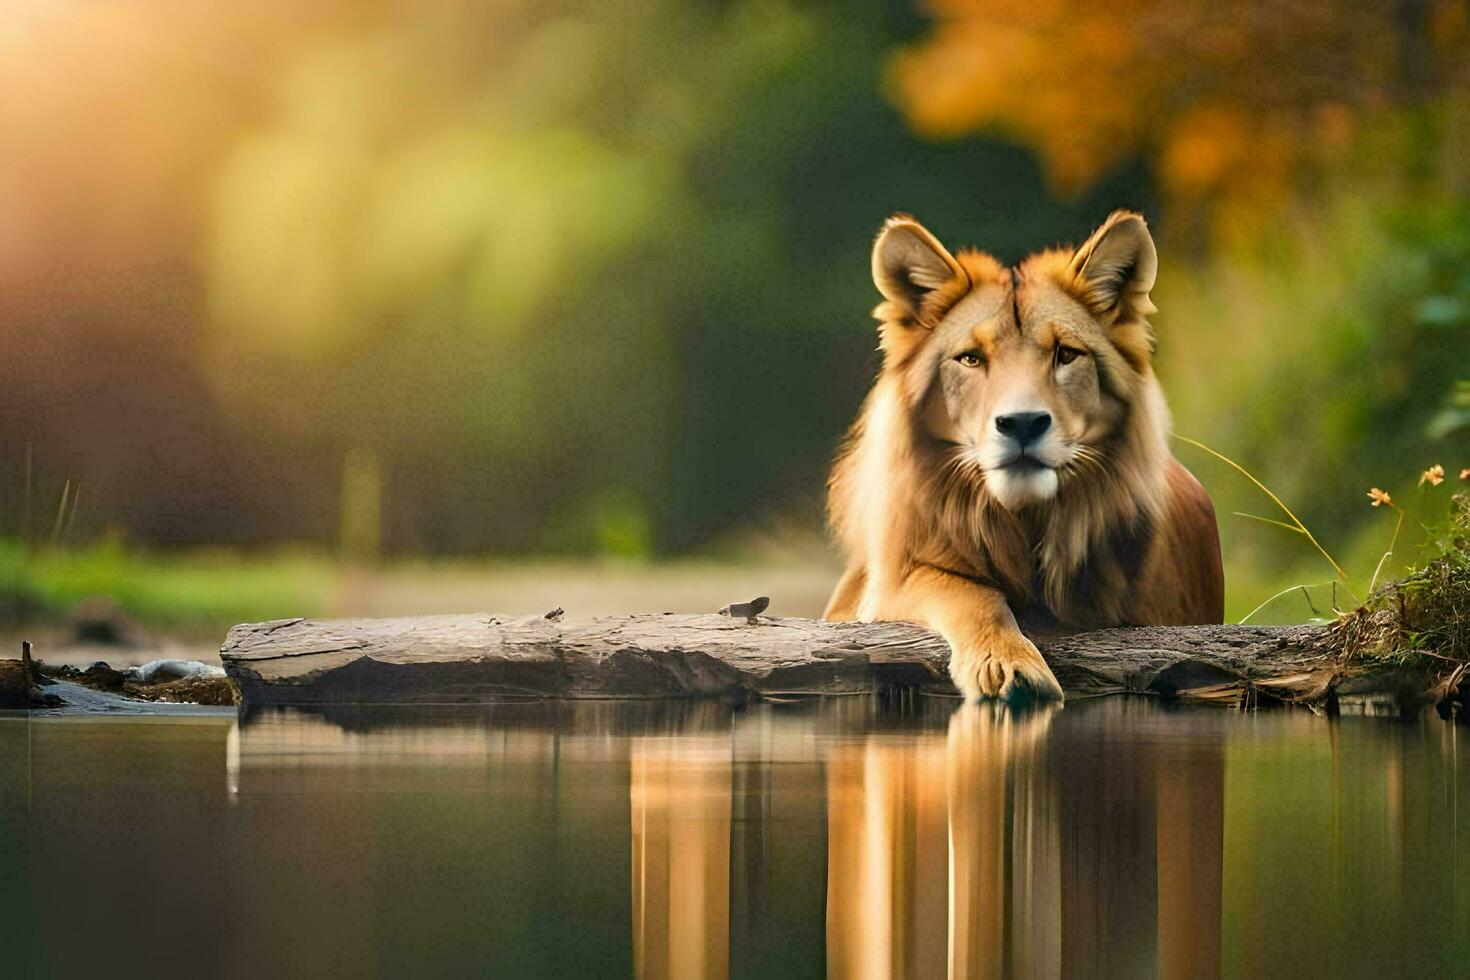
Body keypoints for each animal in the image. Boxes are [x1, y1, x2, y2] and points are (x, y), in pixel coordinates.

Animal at [823, 211, 1223, 702]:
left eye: (1066, 354)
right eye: (971, 359)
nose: (1023, 423)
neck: (1027, 519)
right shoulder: (893, 586)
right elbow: (969, 592)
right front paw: (1008, 668)